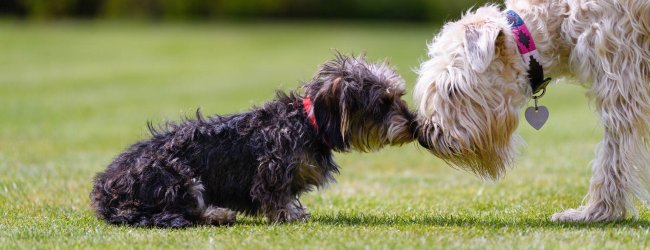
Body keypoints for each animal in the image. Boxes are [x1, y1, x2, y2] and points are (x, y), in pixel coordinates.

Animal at [90, 54, 416, 229]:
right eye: (383, 102)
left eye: (399, 96)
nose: (414, 126)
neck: (308, 122)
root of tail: (103, 191)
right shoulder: (271, 170)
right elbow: (275, 198)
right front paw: (289, 216)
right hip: (180, 178)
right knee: (182, 212)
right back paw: (218, 214)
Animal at [416, 0, 648, 223]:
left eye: (452, 89)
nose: (424, 137)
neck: (560, 19)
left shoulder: (621, 85)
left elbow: (612, 156)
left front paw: (598, 211)